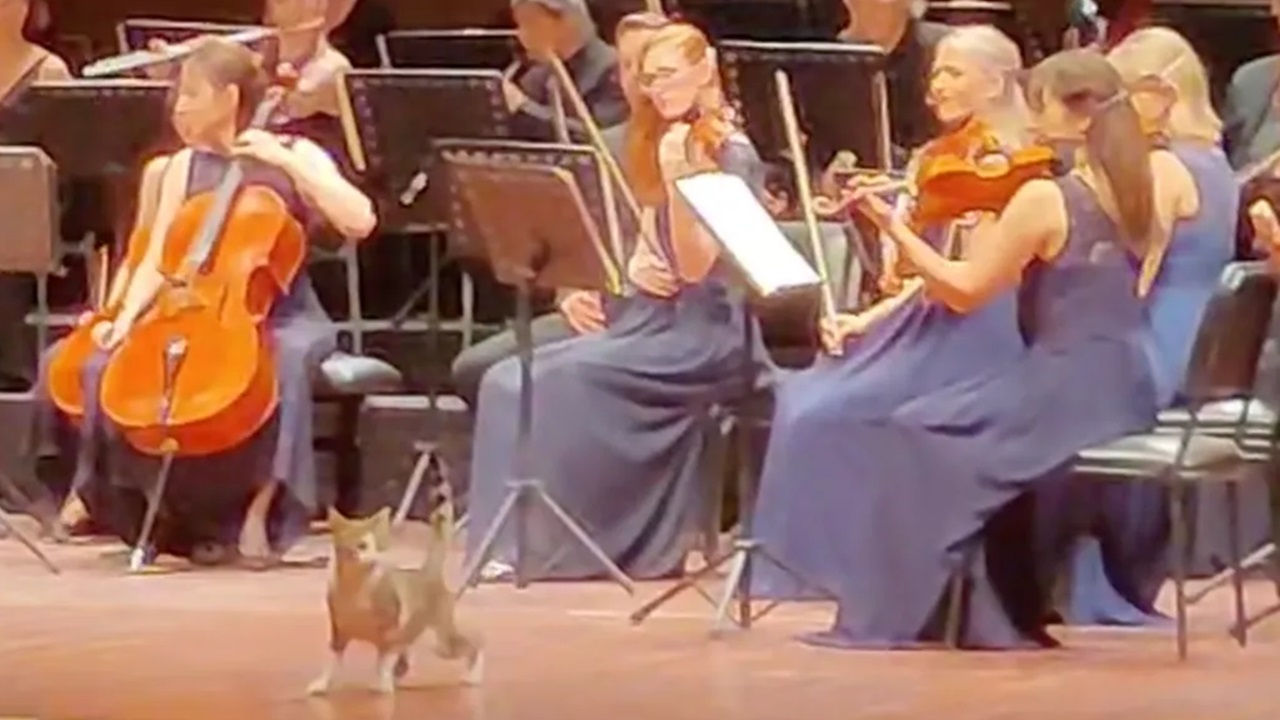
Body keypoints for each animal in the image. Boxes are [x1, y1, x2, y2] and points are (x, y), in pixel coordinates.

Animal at [307, 484, 481, 691]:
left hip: (441, 642)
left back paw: (473, 675)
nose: (359, 556)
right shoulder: (338, 635)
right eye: (349, 546)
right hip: (418, 638)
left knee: (474, 645)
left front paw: (383, 684)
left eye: (365, 545)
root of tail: (428, 571)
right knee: (405, 661)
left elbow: (383, 662)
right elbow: (332, 663)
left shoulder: (390, 634)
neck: (356, 585)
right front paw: (321, 684)